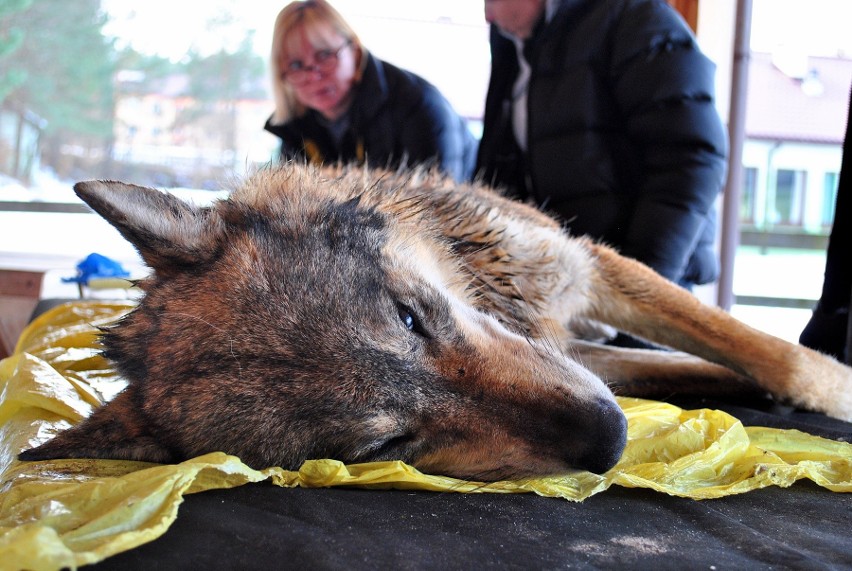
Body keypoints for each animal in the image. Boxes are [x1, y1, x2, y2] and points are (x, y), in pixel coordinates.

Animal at [16, 163, 852, 480]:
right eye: (389, 443)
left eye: (411, 316)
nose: (610, 440)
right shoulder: (576, 348)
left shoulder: (585, 266)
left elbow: (759, 346)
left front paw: (826, 385)